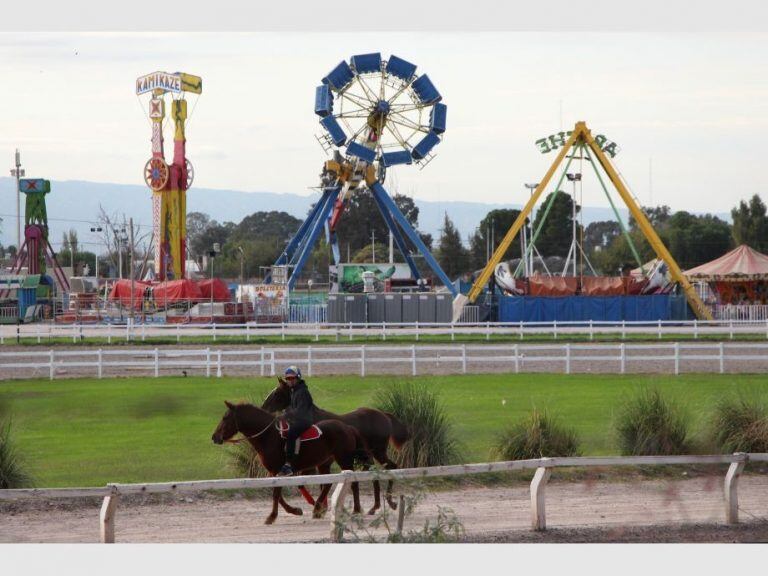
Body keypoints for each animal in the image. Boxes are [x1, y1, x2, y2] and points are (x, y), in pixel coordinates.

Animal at [208, 402, 368, 524]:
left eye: (225, 417)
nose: (214, 437)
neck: (269, 435)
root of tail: (348, 428)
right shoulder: (273, 473)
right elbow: (278, 495)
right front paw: (295, 510)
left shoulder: (278, 470)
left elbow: (276, 494)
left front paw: (272, 516)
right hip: (324, 463)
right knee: (328, 484)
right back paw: (318, 508)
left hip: (344, 460)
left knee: (354, 483)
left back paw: (355, 510)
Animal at [262, 378, 412, 512]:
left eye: (276, 393)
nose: (263, 407)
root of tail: (383, 415)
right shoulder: (322, 462)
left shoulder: (319, 462)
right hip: (369, 454)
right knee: (374, 472)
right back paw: (375, 506)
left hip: (378, 451)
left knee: (391, 467)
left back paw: (390, 501)